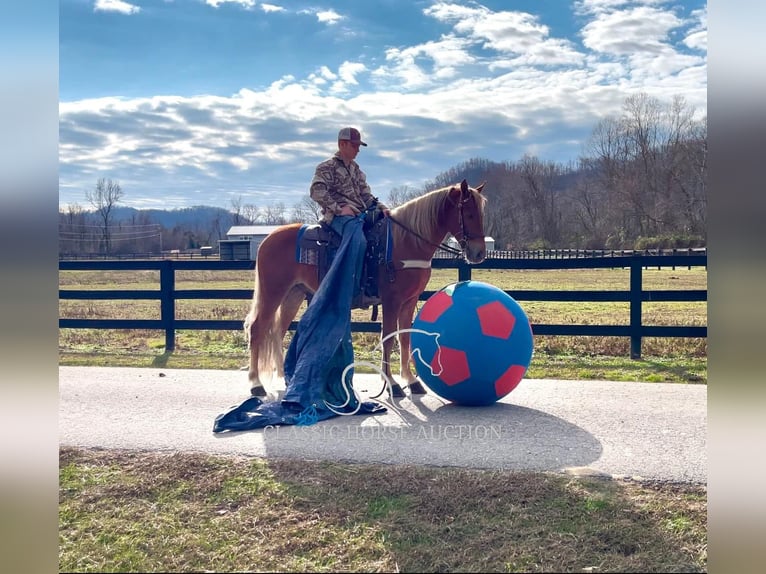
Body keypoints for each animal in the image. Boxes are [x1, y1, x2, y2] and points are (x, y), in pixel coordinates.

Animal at [246, 180, 486, 400]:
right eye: (469, 214)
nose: (479, 254)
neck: (405, 241)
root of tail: (267, 239)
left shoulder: (409, 300)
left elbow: (404, 337)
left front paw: (411, 380)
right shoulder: (391, 300)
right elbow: (388, 338)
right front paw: (392, 384)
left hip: (293, 295)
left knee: (277, 330)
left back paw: (284, 379)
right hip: (272, 292)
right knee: (258, 329)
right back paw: (256, 384)